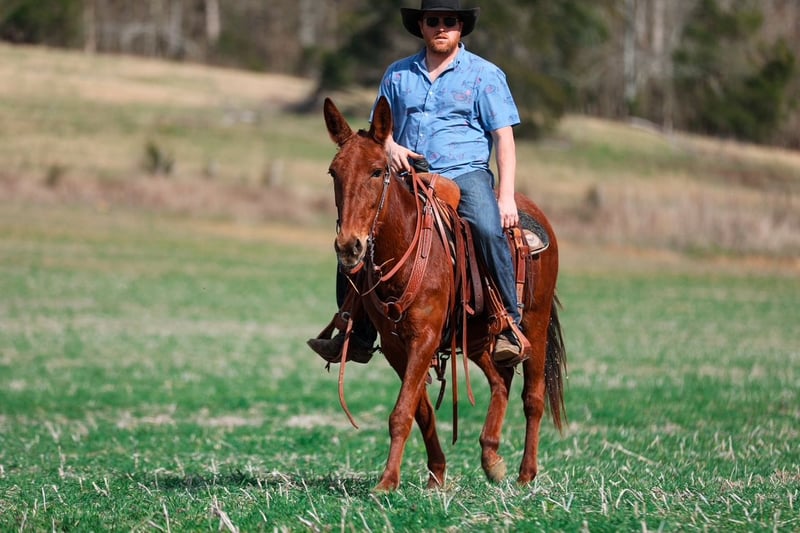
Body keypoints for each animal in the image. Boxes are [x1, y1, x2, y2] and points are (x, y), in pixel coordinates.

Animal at [321, 95, 566, 492]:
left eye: (377, 171)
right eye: (334, 172)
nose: (349, 246)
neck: (404, 249)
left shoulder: (425, 336)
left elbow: (401, 411)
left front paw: (386, 481)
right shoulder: (396, 345)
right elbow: (419, 410)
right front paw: (436, 473)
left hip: (536, 323)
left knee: (533, 397)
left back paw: (526, 473)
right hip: (479, 336)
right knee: (500, 381)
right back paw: (491, 457)